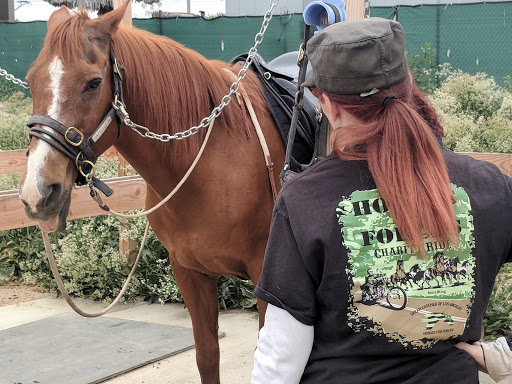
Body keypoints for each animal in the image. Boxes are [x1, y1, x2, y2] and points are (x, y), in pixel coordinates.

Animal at [17, 2, 284, 380]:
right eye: (30, 81)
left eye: (93, 83)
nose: (38, 193)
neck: (215, 157)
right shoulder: (189, 273)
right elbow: (207, 355)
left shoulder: (266, 279)